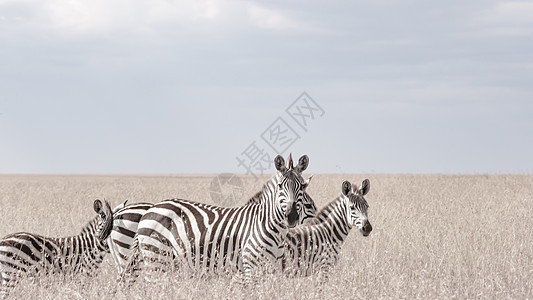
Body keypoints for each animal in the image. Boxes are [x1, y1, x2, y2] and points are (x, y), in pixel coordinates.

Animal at [121, 154, 316, 284]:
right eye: (280, 186)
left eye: (303, 187)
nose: (291, 216)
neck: (269, 226)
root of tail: (150, 209)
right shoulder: (250, 267)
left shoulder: (274, 268)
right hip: (156, 257)